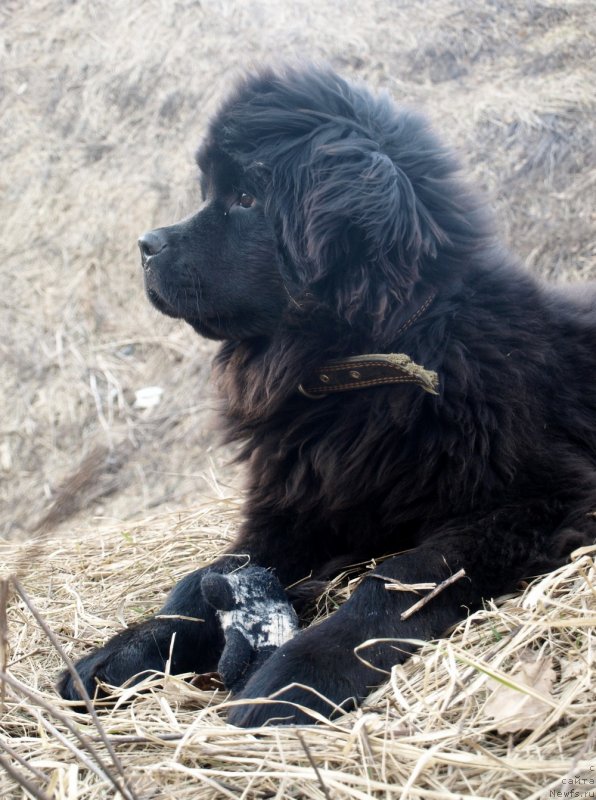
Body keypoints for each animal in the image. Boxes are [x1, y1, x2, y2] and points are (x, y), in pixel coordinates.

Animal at [59, 62, 596, 724]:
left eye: (246, 199)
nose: (145, 244)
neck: (359, 373)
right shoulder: (299, 505)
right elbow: (206, 577)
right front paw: (122, 652)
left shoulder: (542, 498)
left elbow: (397, 580)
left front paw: (297, 675)